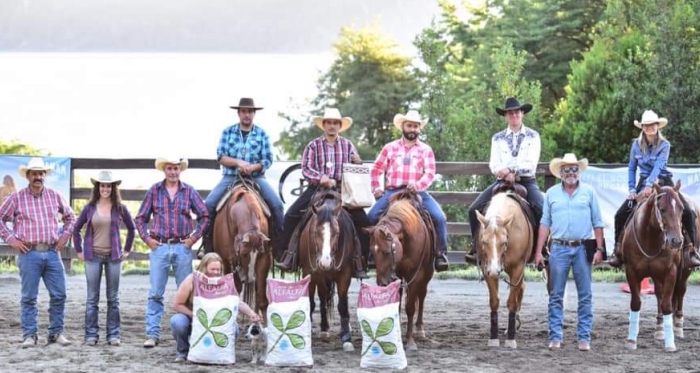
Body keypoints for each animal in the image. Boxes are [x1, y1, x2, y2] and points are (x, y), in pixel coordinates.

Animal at [212, 182, 272, 320]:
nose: (249, 277)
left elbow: (262, 299)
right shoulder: (228, 261)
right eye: (244, 254)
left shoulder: (264, 259)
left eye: (259, 253)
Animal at [296, 189, 358, 352]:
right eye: (315, 232)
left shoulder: (345, 274)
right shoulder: (311, 272)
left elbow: (342, 305)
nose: (325, 261)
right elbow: (312, 301)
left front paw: (347, 339)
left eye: (336, 233)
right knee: (322, 297)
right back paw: (324, 328)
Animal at [364, 190, 434, 350]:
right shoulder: (397, 276)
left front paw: (410, 341)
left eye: (386, 252)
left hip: (427, 273)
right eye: (372, 252)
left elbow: (410, 307)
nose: (382, 283)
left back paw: (419, 329)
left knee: (422, 296)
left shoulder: (416, 275)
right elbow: (397, 304)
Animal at [474, 192, 532, 348]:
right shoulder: (487, 269)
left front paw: (511, 339)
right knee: (522, 287)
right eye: (484, 241)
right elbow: (494, 301)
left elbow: (511, 302)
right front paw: (494, 337)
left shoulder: (518, 268)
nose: (495, 270)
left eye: (505, 242)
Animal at [620, 182, 688, 350]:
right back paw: (659, 329)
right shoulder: (631, 272)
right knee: (659, 294)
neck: (650, 237)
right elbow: (636, 303)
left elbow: (667, 305)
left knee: (679, 293)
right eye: (662, 209)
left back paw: (678, 328)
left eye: (682, 208)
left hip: (683, 272)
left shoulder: (671, 272)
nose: (677, 241)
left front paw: (670, 344)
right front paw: (631, 340)